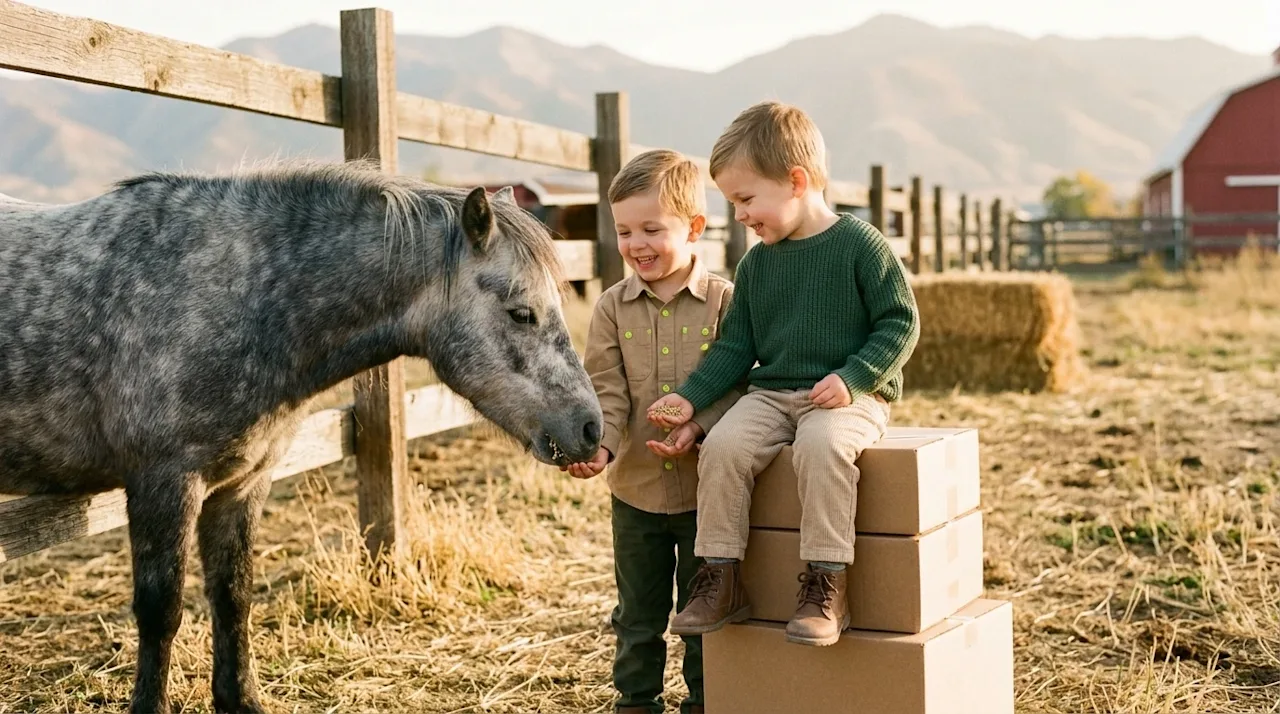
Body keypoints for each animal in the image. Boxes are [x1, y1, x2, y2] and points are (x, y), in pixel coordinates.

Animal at [0, 159, 604, 714]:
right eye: (521, 312)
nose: (590, 429)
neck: (232, 295)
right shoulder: (163, 485)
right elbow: (160, 611)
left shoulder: (241, 484)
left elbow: (233, 597)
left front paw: (240, 700)